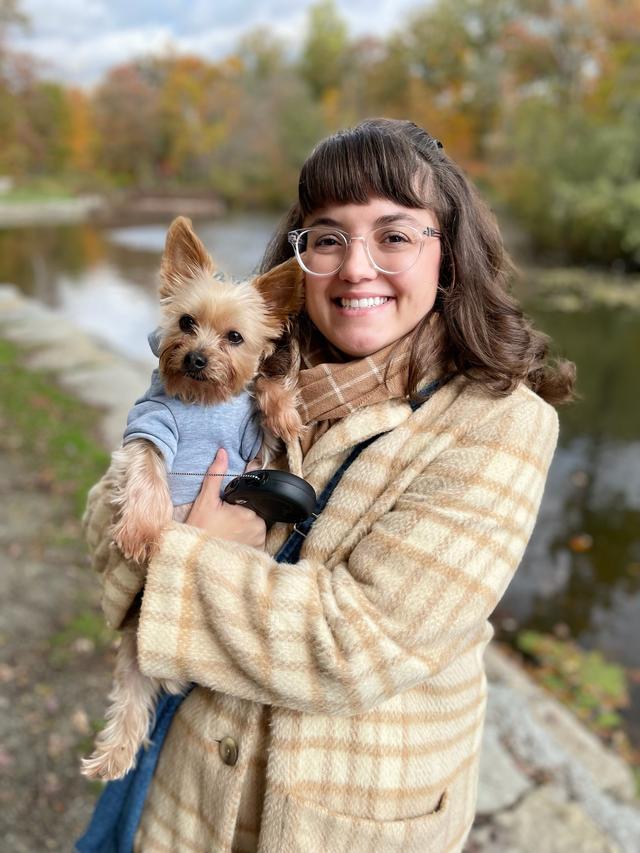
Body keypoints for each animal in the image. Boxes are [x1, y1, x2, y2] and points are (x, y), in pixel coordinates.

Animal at [82, 215, 302, 780]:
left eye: (235, 336)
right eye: (185, 321)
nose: (198, 358)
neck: (203, 402)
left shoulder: (254, 445)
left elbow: (262, 390)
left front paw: (283, 408)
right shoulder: (149, 426)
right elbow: (148, 468)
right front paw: (141, 529)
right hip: (133, 655)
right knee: (130, 700)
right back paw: (109, 760)